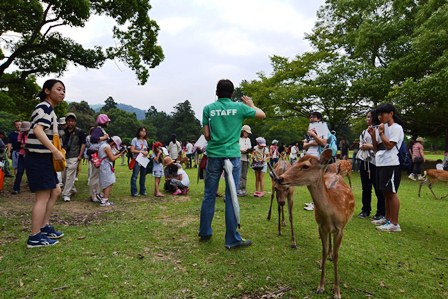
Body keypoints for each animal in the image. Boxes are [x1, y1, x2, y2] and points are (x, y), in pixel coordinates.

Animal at [272, 150, 356, 299]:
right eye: (295, 161)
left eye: (305, 166)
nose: (280, 178)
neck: (332, 212)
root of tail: (336, 174)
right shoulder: (321, 227)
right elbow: (323, 251)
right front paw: (320, 286)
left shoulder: (340, 229)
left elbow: (337, 256)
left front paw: (337, 292)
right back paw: (324, 261)